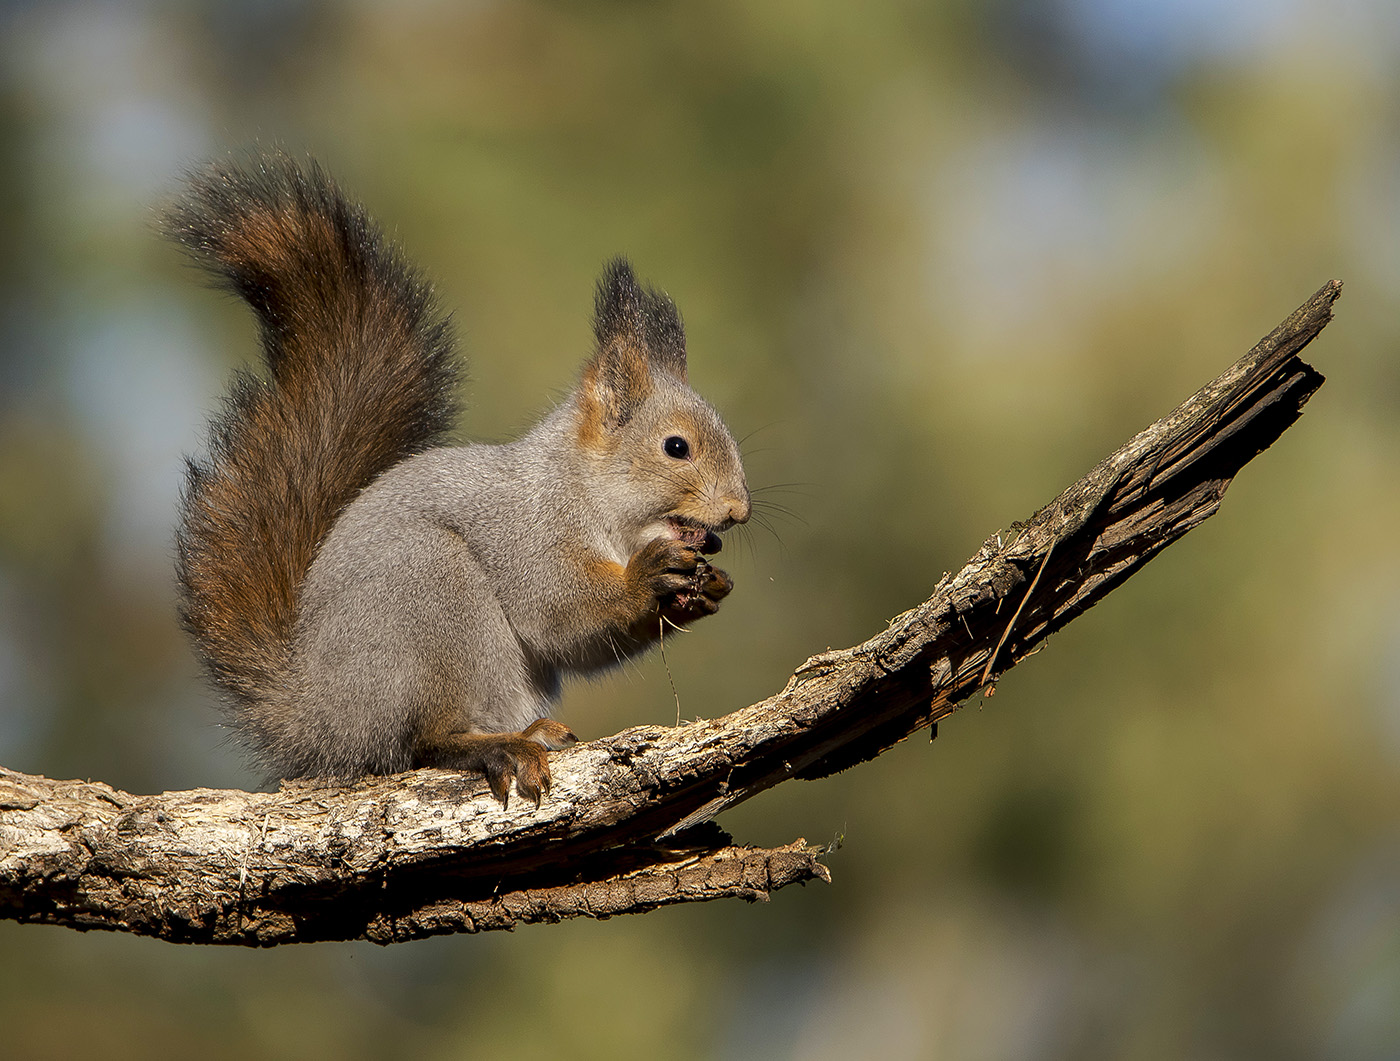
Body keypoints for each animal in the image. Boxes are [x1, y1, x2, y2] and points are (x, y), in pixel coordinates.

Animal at [165, 156, 750, 806]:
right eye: (676, 447)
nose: (738, 511)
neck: (588, 494)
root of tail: (320, 720)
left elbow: (585, 645)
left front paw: (704, 588)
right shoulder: (528, 533)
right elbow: (556, 612)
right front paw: (647, 579)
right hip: (432, 598)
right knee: (425, 739)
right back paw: (498, 745)